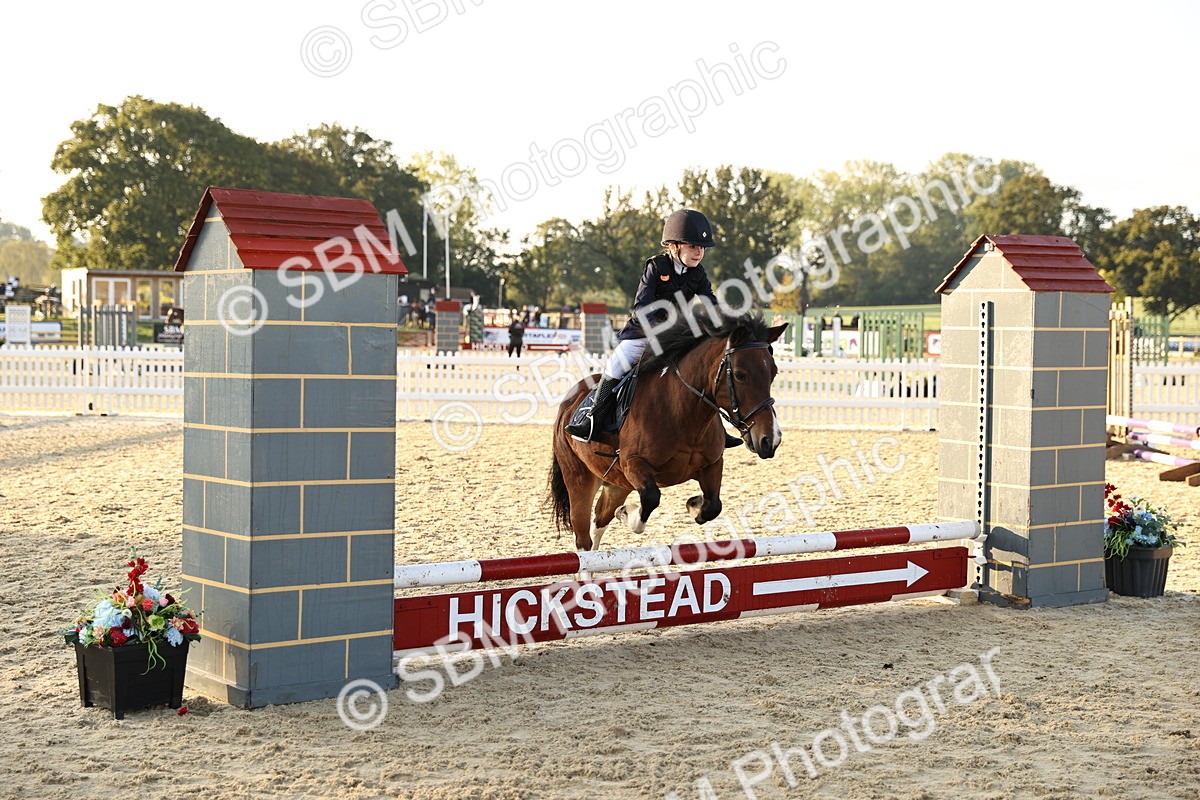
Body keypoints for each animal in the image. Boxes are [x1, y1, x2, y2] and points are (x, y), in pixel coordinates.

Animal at [548, 312, 786, 551]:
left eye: (773, 373)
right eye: (739, 375)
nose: (770, 440)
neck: (681, 412)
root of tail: (570, 400)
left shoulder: (712, 463)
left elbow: (713, 505)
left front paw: (694, 504)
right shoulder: (633, 463)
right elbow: (651, 498)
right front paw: (626, 514)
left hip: (616, 483)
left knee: (598, 523)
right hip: (579, 479)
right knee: (583, 537)